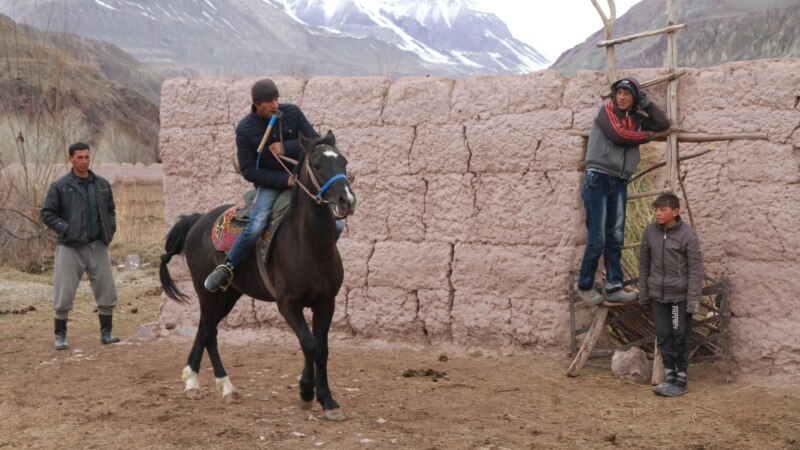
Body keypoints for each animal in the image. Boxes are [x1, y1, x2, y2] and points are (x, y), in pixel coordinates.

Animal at [158, 132, 354, 420]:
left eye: (344, 161)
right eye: (317, 164)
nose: (347, 200)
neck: (309, 244)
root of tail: (197, 220)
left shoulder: (326, 303)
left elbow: (321, 348)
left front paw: (327, 399)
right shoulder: (288, 304)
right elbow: (309, 343)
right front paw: (307, 391)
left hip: (229, 295)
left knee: (205, 328)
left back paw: (192, 379)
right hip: (207, 292)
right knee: (209, 332)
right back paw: (226, 387)